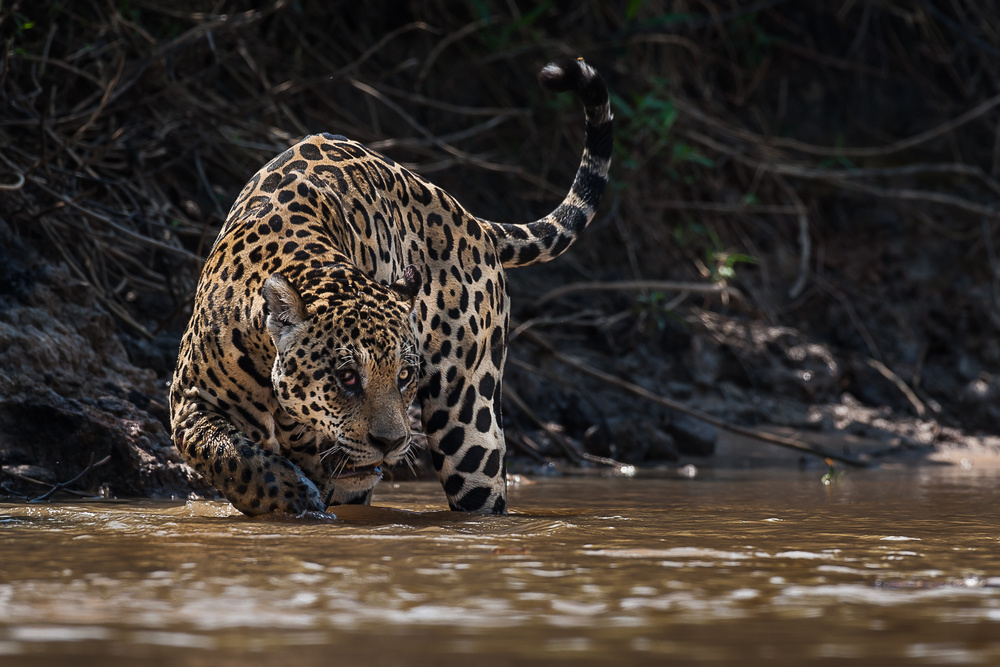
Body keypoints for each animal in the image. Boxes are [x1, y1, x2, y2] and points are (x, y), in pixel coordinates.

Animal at [169, 58, 612, 516]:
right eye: (347, 377)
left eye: (403, 376)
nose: (391, 442)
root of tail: (468, 216)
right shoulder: (190, 400)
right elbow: (229, 456)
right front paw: (293, 495)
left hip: (471, 424)